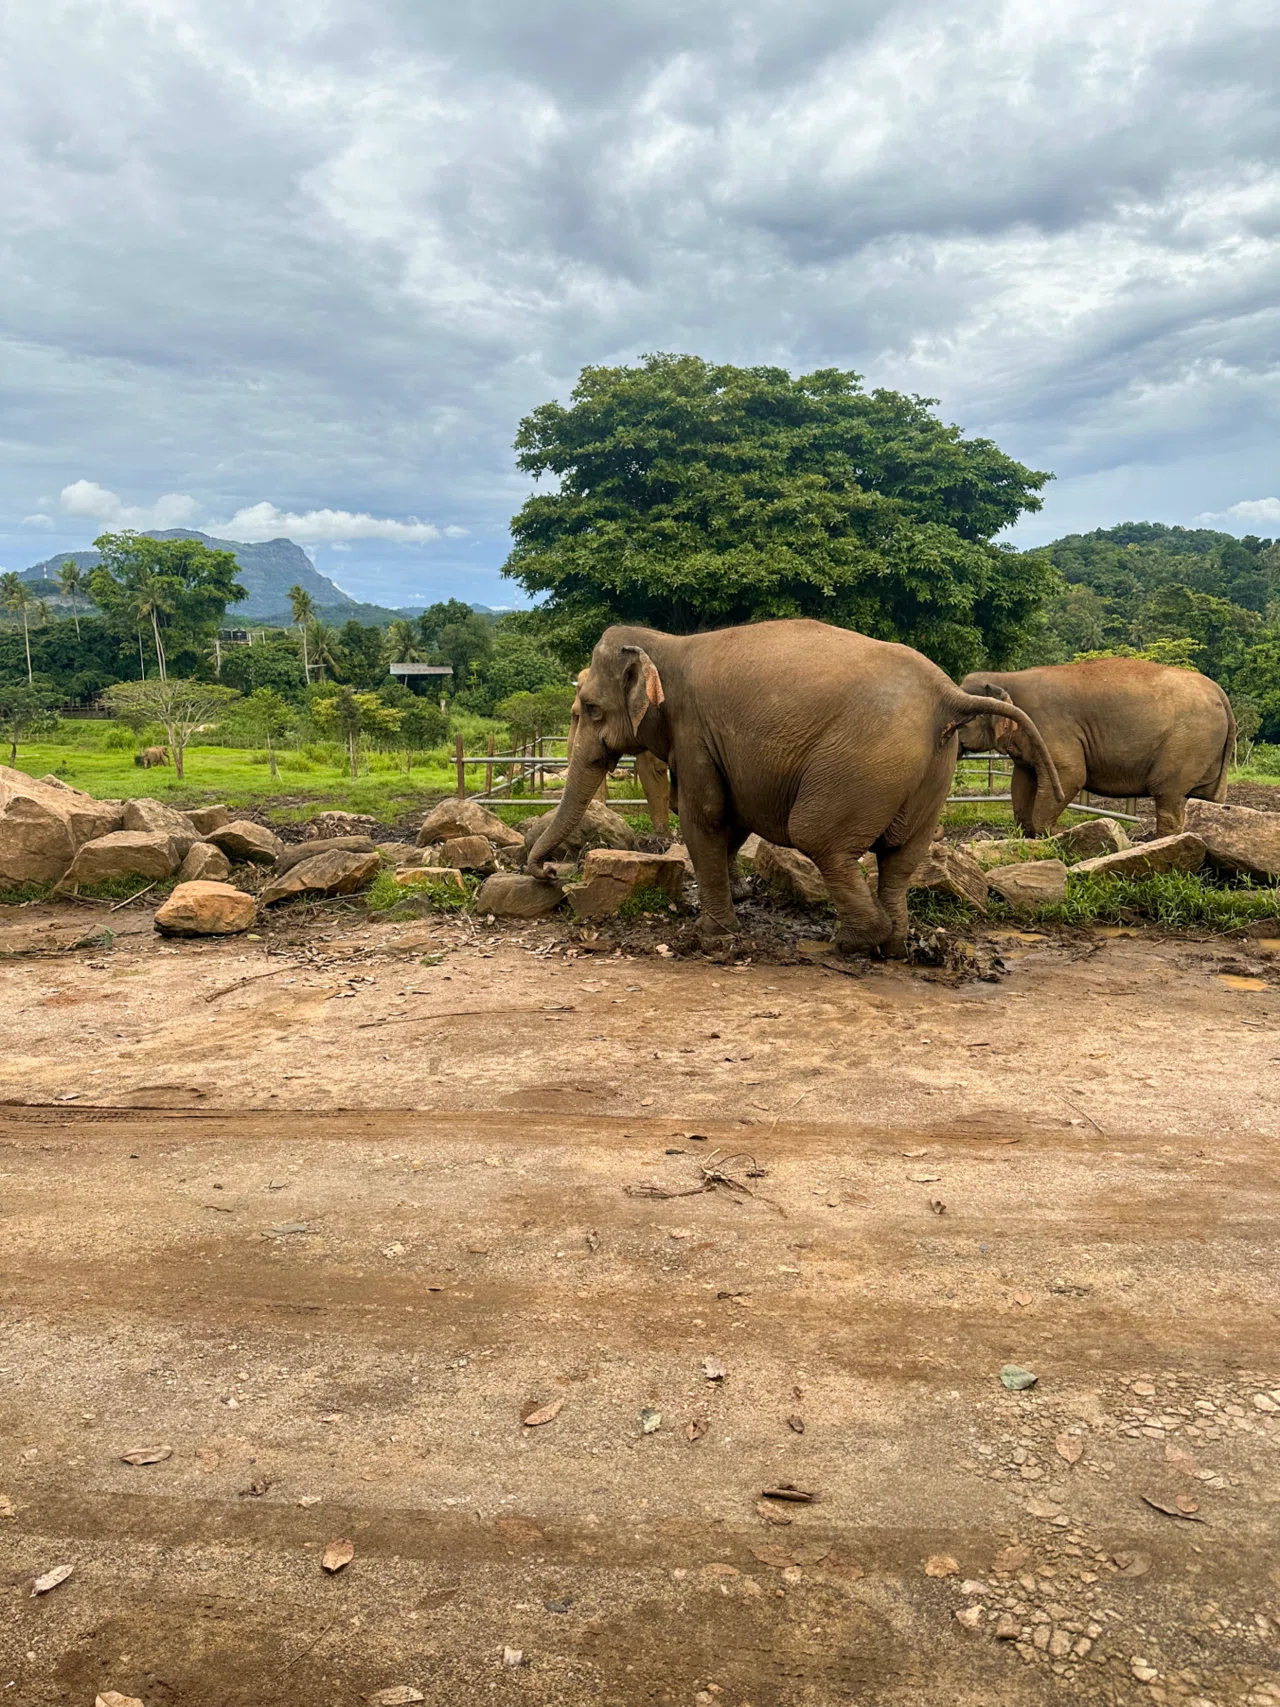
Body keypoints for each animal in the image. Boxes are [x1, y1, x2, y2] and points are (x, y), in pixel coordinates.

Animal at [528, 620, 1064, 956]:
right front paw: (735, 899)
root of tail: (948, 694)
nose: (550, 872)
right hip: (931, 768)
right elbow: (732, 818)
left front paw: (711, 933)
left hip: (863, 760)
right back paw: (892, 944)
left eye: (590, 710)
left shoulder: (693, 731)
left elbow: (704, 817)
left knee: (819, 837)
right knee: (900, 857)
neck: (667, 642)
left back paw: (852, 942)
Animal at [957, 659, 1235, 837]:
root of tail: (1220, 693)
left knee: (1167, 792)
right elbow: (1022, 782)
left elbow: (1070, 776)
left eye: (962, 719)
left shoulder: (1052, 728)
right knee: (1206, 799)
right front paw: (1027, 835)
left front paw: (1049, 835)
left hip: (1188, 742)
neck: (1005, 677)